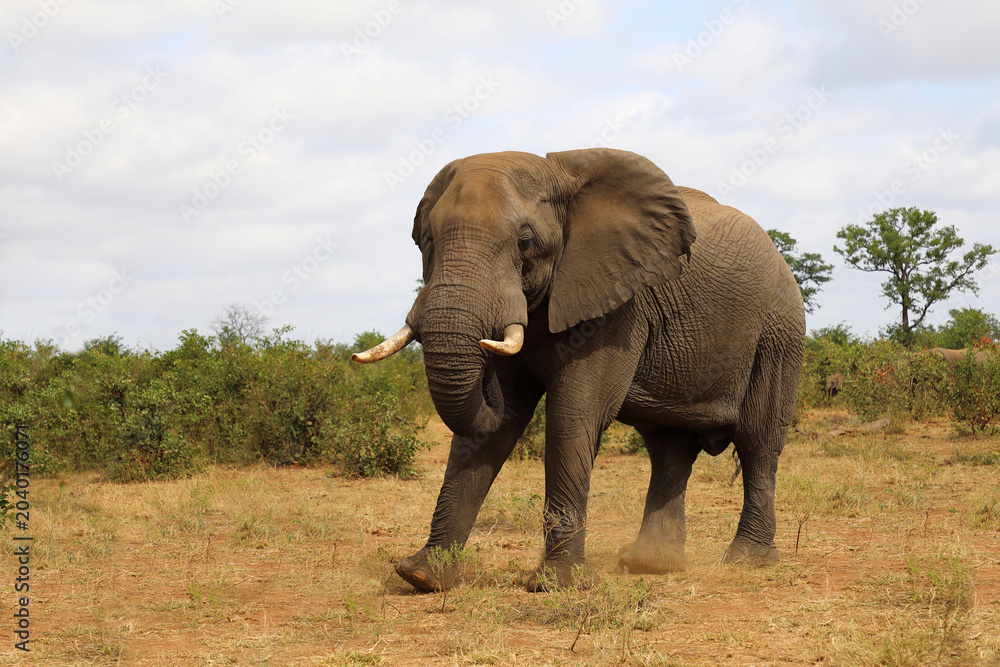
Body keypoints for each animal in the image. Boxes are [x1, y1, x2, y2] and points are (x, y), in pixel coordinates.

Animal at [354, 148, 806, 592]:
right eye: (426, 239)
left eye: (525, 241)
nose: (486, 363)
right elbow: (498, 425)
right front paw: (420, 576)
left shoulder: (618, 303)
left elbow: (573, 413)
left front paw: (556, 584)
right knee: (669, 446)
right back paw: (650, 564)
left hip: (778, 333)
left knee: (757, 442)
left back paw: (746, 561)